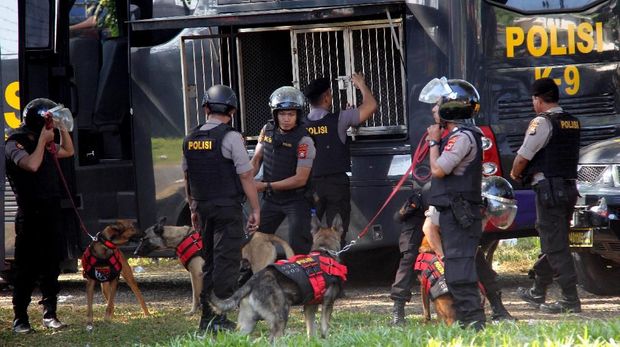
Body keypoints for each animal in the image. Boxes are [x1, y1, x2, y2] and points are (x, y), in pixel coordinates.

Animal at [136, 218, 296, 316]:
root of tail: (266, 236)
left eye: (145, 239)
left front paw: (193, 311)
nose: (135, 252)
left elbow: (195, 295)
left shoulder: (196, 275)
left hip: (259, 268)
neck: (181, 237)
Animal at [207, 215, 344, 342]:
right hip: (280, 319)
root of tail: (253, 281)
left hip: (246, 325)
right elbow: (324, 329)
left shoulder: (309, 307)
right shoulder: (328, 304)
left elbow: (311, 331)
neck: (324, 251)